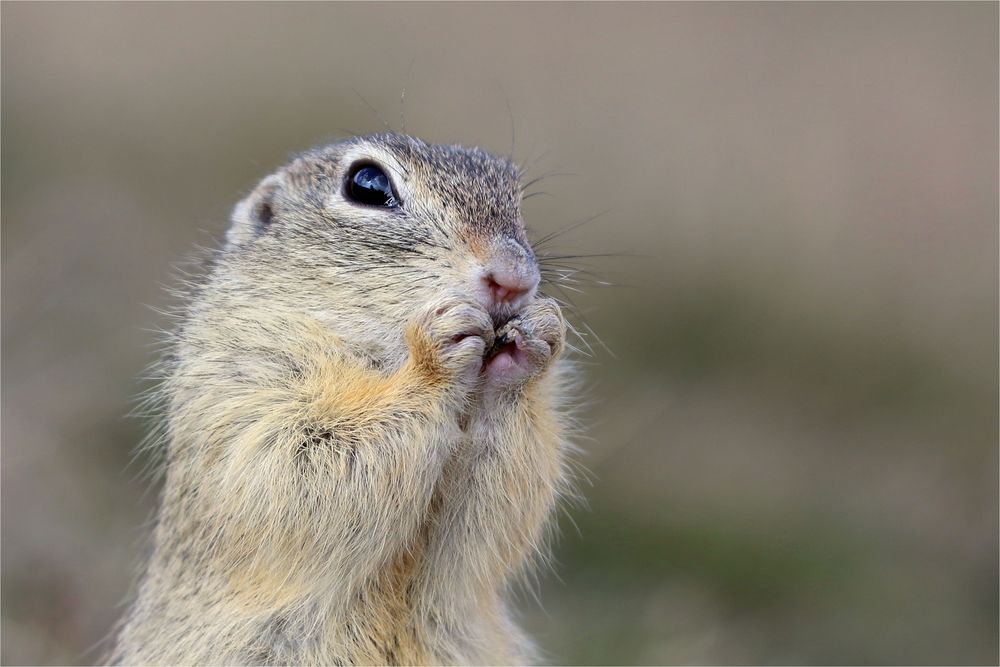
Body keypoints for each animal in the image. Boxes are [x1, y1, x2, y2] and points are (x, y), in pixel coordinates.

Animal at [111, 133, 580, 664]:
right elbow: (295, 467)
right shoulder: (246, 385)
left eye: (516, 198)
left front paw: (535, 339)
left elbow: (489, 521)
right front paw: (435, 357)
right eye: (367, 184)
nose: (515, 277)